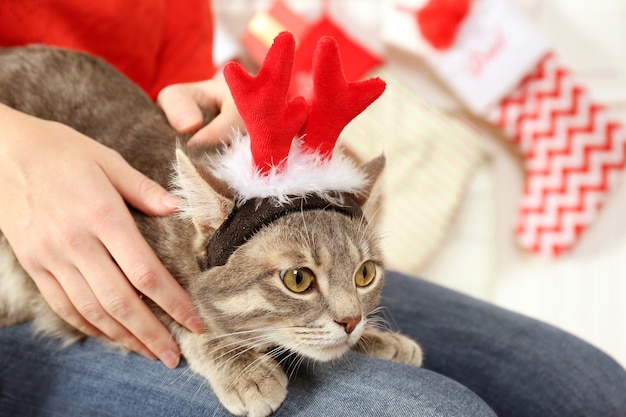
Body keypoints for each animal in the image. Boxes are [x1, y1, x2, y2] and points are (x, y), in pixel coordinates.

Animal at [0, 45, 422, 416]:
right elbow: (185, 319)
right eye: (298, 279)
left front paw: (379, 338)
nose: (350, 322)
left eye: (364, 274)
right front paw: (244, 369)